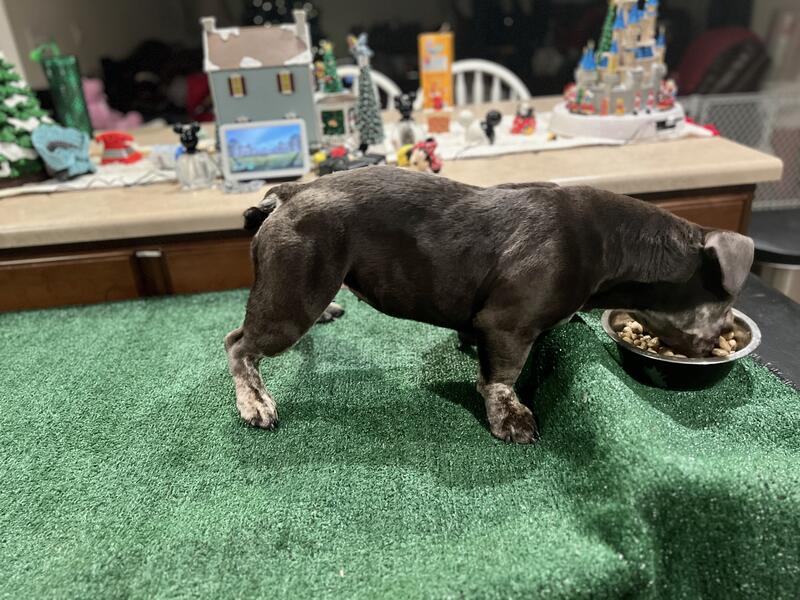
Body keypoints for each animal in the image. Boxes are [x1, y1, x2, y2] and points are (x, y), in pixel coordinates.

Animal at [226, 166, 754, 443]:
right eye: (725, 299)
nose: (720, 340)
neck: (615, 245)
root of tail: (294, 191)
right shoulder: (507, 327)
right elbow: (500, 379)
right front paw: (511, 418)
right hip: (292, 299)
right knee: (239, 345)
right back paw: (255, 402)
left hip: (302, 286)